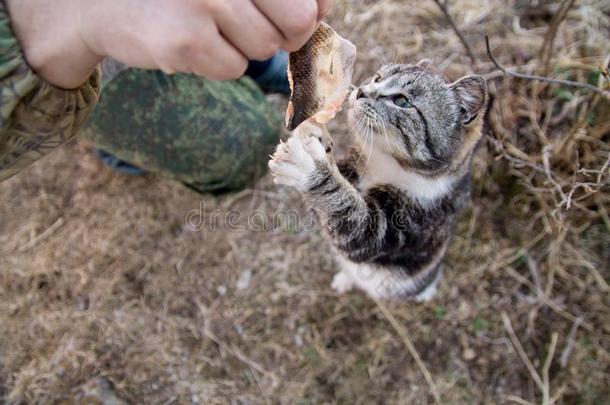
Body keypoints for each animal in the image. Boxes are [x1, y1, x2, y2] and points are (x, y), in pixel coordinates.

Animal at [268, 60, 486, 300]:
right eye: (378, 78)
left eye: (402, 101)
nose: (362, 91)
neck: (384, 163)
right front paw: (314, 132)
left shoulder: (404, 228)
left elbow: (354, 225)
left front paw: (309, 167)